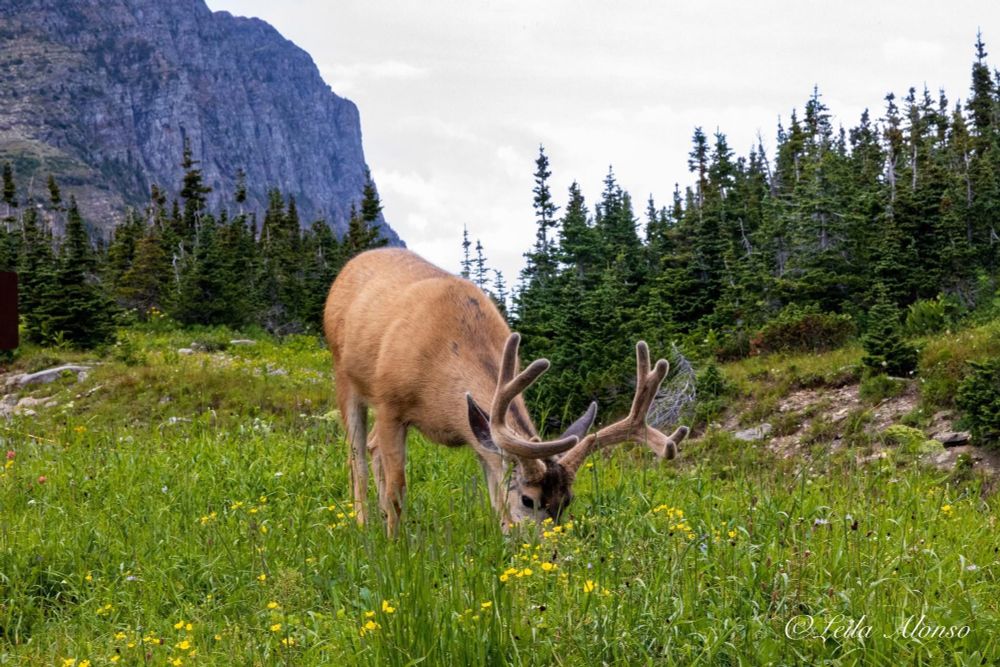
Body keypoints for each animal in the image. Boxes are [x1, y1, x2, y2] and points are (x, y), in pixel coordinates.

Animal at [323, 248, 689, 535]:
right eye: (529, 499)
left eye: (567, 501)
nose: (551, 552)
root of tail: (350, 266)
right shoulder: (391, 403)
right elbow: (398, 488)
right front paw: (394, 548)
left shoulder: (479, 436)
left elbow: (495, 496)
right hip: (344, 374)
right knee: (356, 456)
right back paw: (363, 524)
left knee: (371, 447)